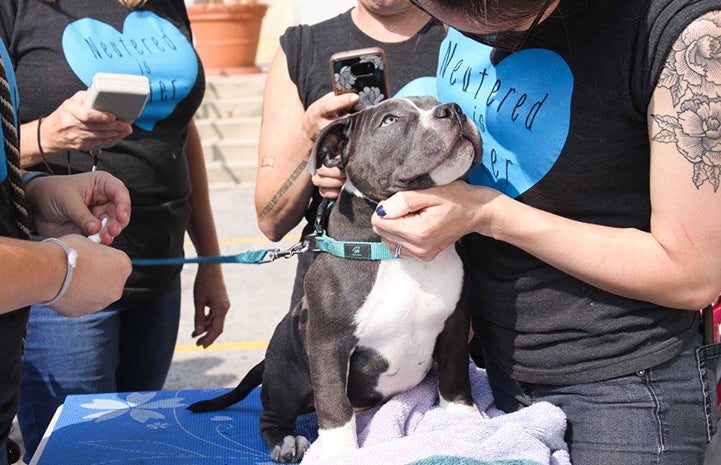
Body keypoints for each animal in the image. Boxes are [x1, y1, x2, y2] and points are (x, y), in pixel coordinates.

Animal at [188, 96, 484, 462]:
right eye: (390, 120)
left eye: (434, 101)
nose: (453, 109)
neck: (396, 253)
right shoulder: (328, 343)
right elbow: (333, 402)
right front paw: (339, 451)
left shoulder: (455, 322)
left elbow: (455, 373)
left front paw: (462, 418)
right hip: (286, 372)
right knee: (272, 416)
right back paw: (287, 441)